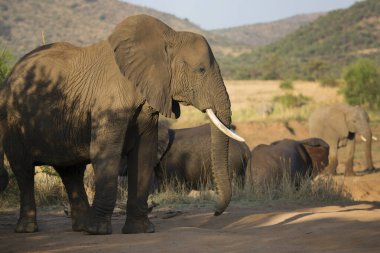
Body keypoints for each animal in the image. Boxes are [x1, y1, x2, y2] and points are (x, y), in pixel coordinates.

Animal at [0, 14, 243, 234]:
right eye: (200, 70)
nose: (215, 212)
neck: (167, 36)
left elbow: (143, 156)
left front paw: (141, 231)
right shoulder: (108, 101)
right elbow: (106, 154)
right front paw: (99, 231)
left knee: (71, 171)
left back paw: (81, 228)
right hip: (11, 120)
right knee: (23, 169)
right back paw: (29, 229)